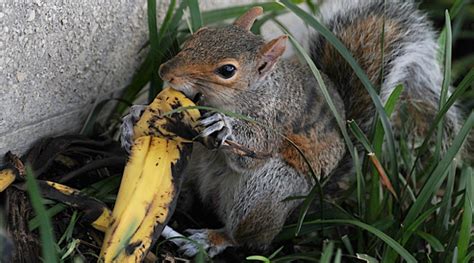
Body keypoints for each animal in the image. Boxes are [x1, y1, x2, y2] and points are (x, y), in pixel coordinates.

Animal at [119, 0, 462, 258]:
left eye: (227, 70)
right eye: (198, 36)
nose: (166, 72)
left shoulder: (275, 119)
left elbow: (253, 152)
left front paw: (222, 124)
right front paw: (133, 117)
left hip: (266, 191)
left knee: (248, 238)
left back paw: (205, 240)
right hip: (191, 170)